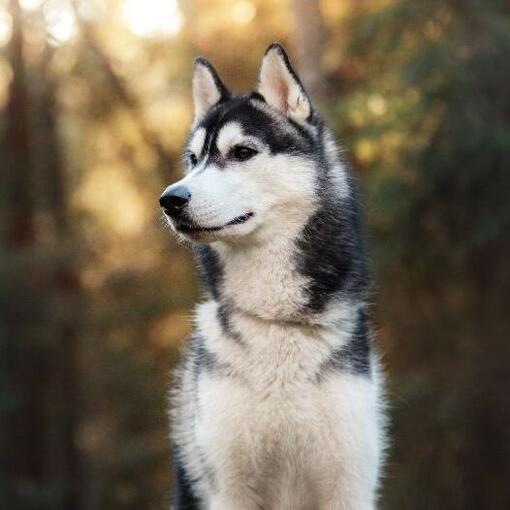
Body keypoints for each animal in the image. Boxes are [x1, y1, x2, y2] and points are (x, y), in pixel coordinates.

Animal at [161, 41, 384, 508]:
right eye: (193, 159)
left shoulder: (348, 484)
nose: (170, 199)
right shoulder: (229, 487)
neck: (277, 321)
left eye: (242, 152)